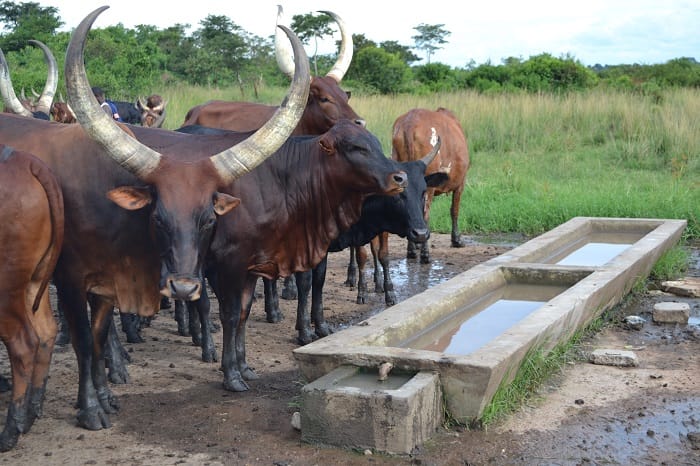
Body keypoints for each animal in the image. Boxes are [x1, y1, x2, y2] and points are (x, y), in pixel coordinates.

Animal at [0, 5, 310, 431]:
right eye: (159, 218)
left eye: (208, 219)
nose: (183, 287)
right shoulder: (70, 279)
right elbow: (82, 340)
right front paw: (91, 408)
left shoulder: (106, 284)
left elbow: (99, 337)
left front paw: (104, 396)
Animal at [175, 120, 408, 390]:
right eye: (357, 147)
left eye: (377, 144)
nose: (401, 177)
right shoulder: (223, 264)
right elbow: (230, 312)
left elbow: (250, 308)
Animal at [390, 107, 471, 263]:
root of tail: (410, 122)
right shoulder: (460, 183)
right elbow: (454, 210)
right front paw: (456, 240)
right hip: (428, 187)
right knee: (426, 214)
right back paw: (425, 254)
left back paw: (412, 251)